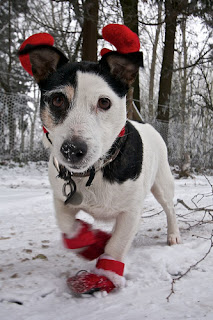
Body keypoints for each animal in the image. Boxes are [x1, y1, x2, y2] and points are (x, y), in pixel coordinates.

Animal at [19, 24, 181, 296]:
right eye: (58, 99)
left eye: (104, 102)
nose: (73, 149)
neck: (93, 171)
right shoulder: (61, 198)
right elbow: (69, 227)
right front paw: (92, 242)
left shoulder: (131, 211)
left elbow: (116, 247)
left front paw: (104, 274)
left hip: (162, 184)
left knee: (170, 208)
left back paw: (173, 235)